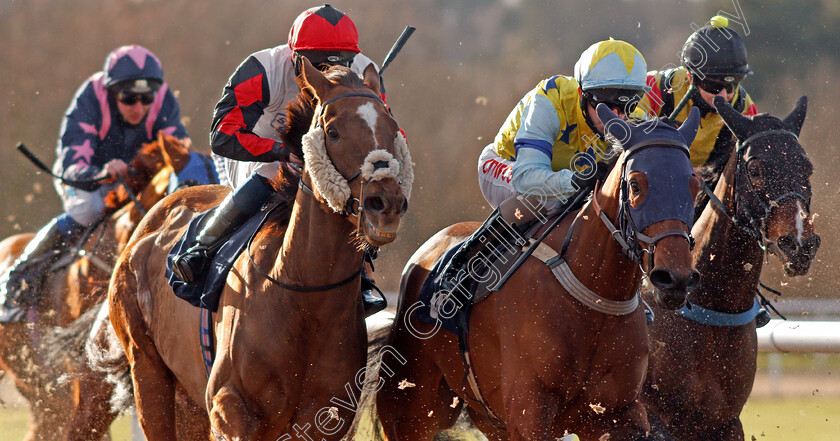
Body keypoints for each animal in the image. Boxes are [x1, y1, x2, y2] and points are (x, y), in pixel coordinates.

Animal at [106, 58, 416, 440]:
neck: (302, 293)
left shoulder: (325, 417)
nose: (385, 204)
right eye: (333, 132)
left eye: (392, 128)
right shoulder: (229, 405)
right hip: (148, 371)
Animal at [378, 105, 704, 440]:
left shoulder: (619, 413)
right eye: (636, 185)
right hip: (411, 412)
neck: (595, 293)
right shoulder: (528, 414)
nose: (675, 277)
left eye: (694, 186)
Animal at [640, 94, 816, 438]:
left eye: (807, 168)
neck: (710, 307)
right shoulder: (648, 414)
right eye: (756, 169)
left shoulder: (726, 423)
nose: (801, 243)